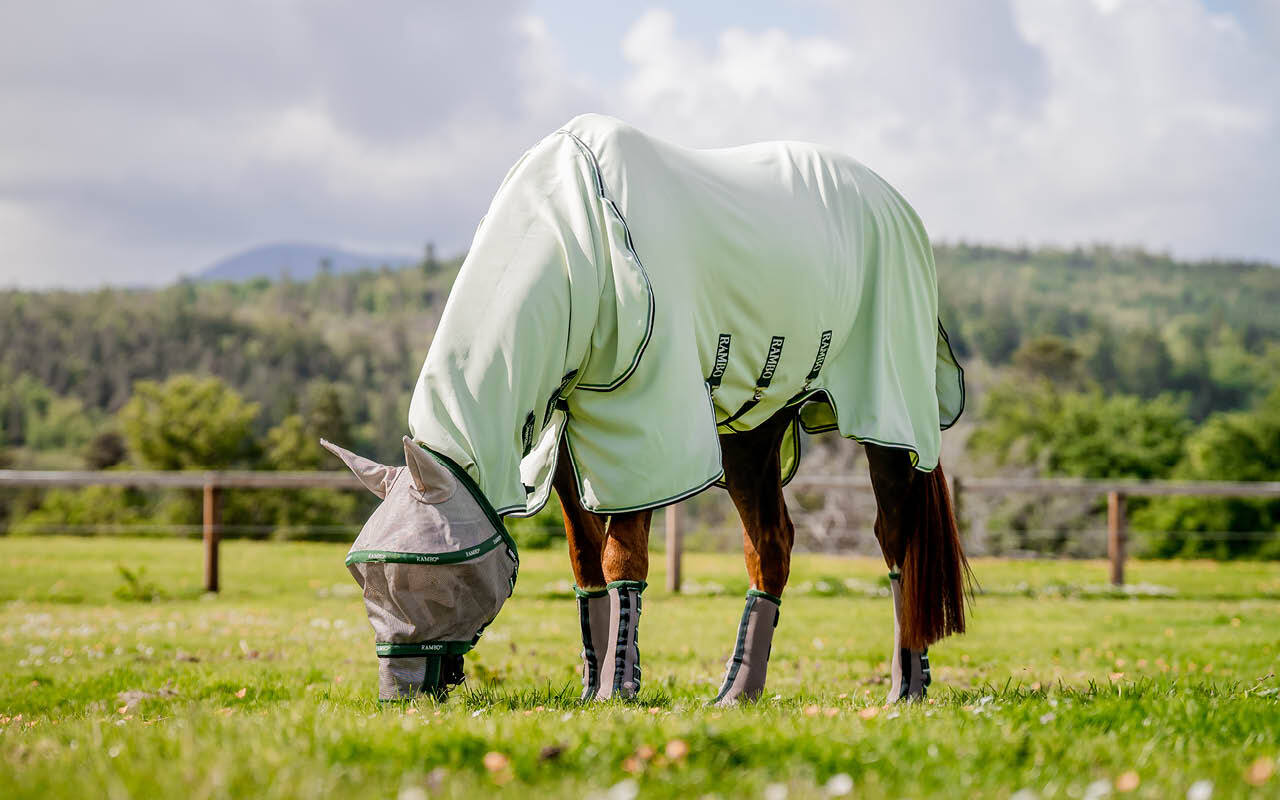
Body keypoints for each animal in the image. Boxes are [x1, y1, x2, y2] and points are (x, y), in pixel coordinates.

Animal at [326, 113, 970, 704]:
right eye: (362, 574)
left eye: (432, 573)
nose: (399, 693)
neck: (578, 232)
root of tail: (898, 208)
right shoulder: (562, 438)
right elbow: (585, 564)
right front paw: (594, 689)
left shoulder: (644, 426)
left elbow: (621, 559)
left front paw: (619, 689)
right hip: (752, 431)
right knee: (772, 547)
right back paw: (738, 692)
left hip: (890, 420)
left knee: (897, 543)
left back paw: (906, 689)